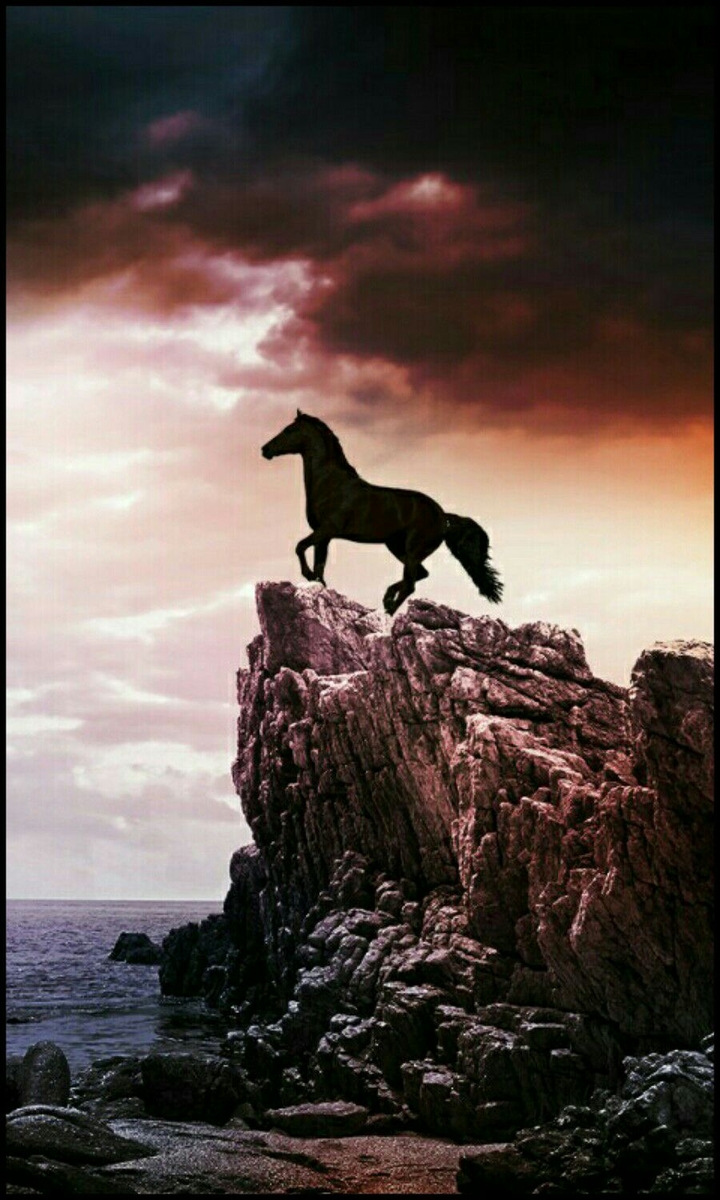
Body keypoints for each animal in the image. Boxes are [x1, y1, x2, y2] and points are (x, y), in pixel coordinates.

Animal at [262, 410, 503, 616]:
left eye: (289, 430)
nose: (265, 449)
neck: (331, 484)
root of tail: (444, 518)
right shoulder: (324, 535)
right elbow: (320, 564)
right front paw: (318, 584)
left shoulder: (327, 529)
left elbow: (300, 547)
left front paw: (308, 575)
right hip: (396, 546)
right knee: (419, 575)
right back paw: (386, 599)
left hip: (412, 550)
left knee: (411, 584)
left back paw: (387, 612)